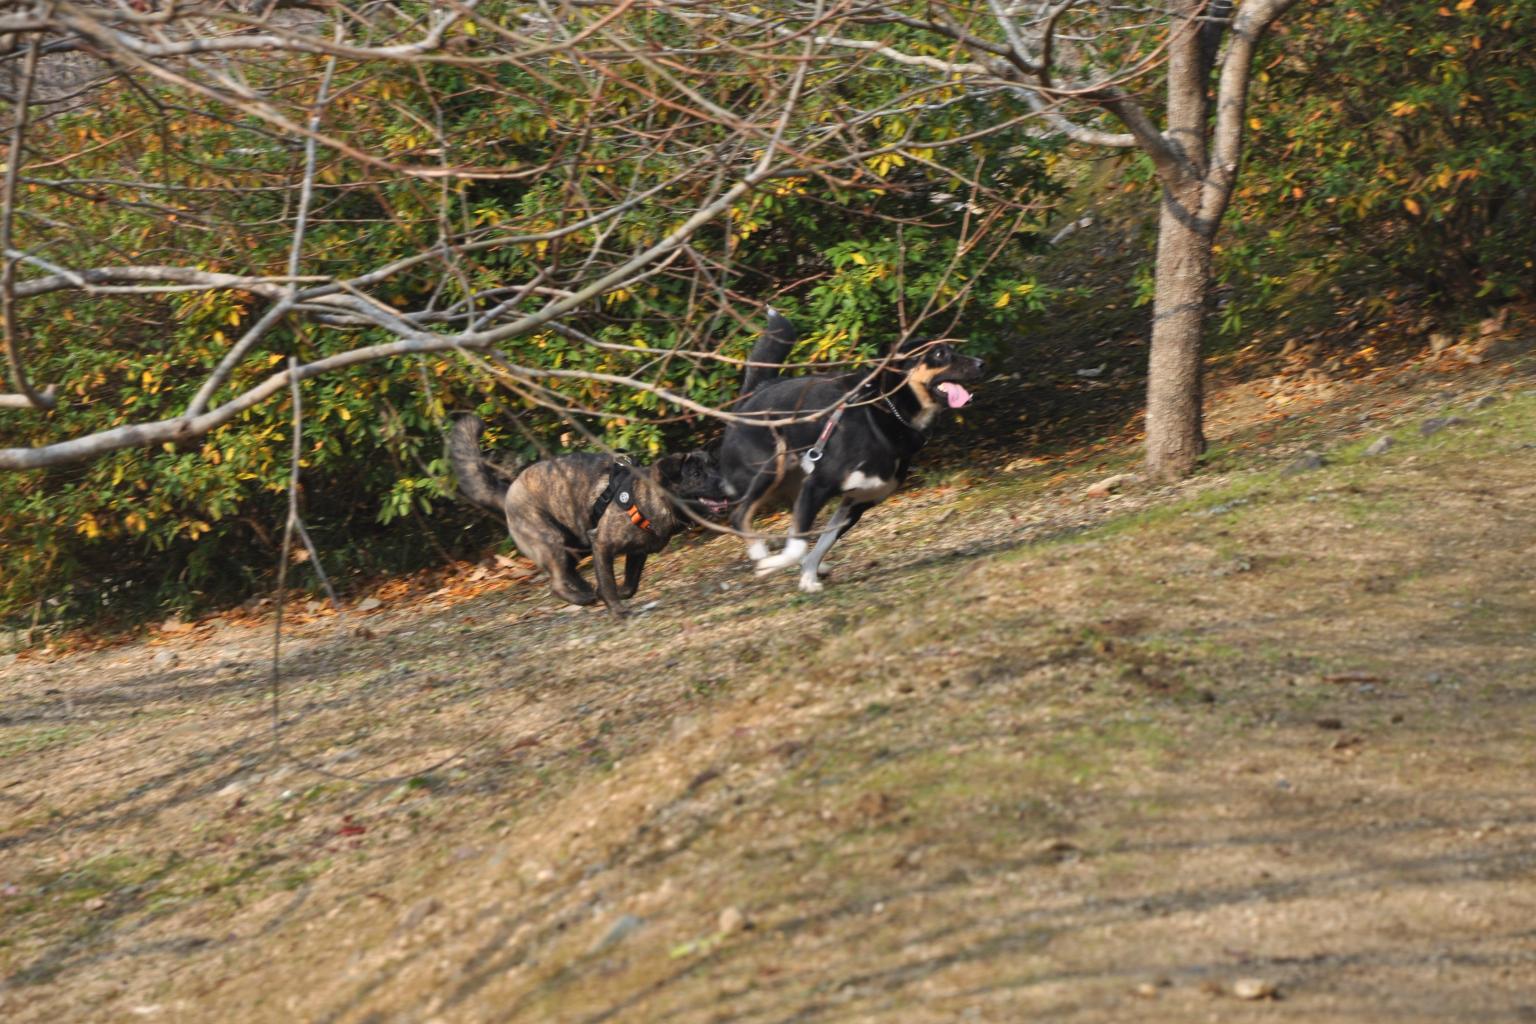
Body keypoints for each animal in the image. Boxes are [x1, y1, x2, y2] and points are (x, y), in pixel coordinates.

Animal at [448, 415, 727, 616]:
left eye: (716, 467)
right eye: (696, 474)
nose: (727, 485)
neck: (648, 496)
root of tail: (507, 493)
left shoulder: (637, 553)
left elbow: (629, 585)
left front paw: (607, 595)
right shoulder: (602, 545)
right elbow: (610, 584)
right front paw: (617, 610)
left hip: (574, 544)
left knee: (568, 573)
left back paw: (587, 592)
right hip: (551, 541)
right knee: (557, 583)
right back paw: (581, 597)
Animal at [719, 308, 984, 593]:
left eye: (952, 349)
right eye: (939, 354)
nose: (982, 363)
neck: (884, 414)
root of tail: (756, 392)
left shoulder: (856, 503)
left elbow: (820, 543)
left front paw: (808, 575)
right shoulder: (818, 486)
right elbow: (799, 544)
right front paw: (771, 565)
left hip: (795, 485)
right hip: (770, 470)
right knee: (739, 515)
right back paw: (761, 554)